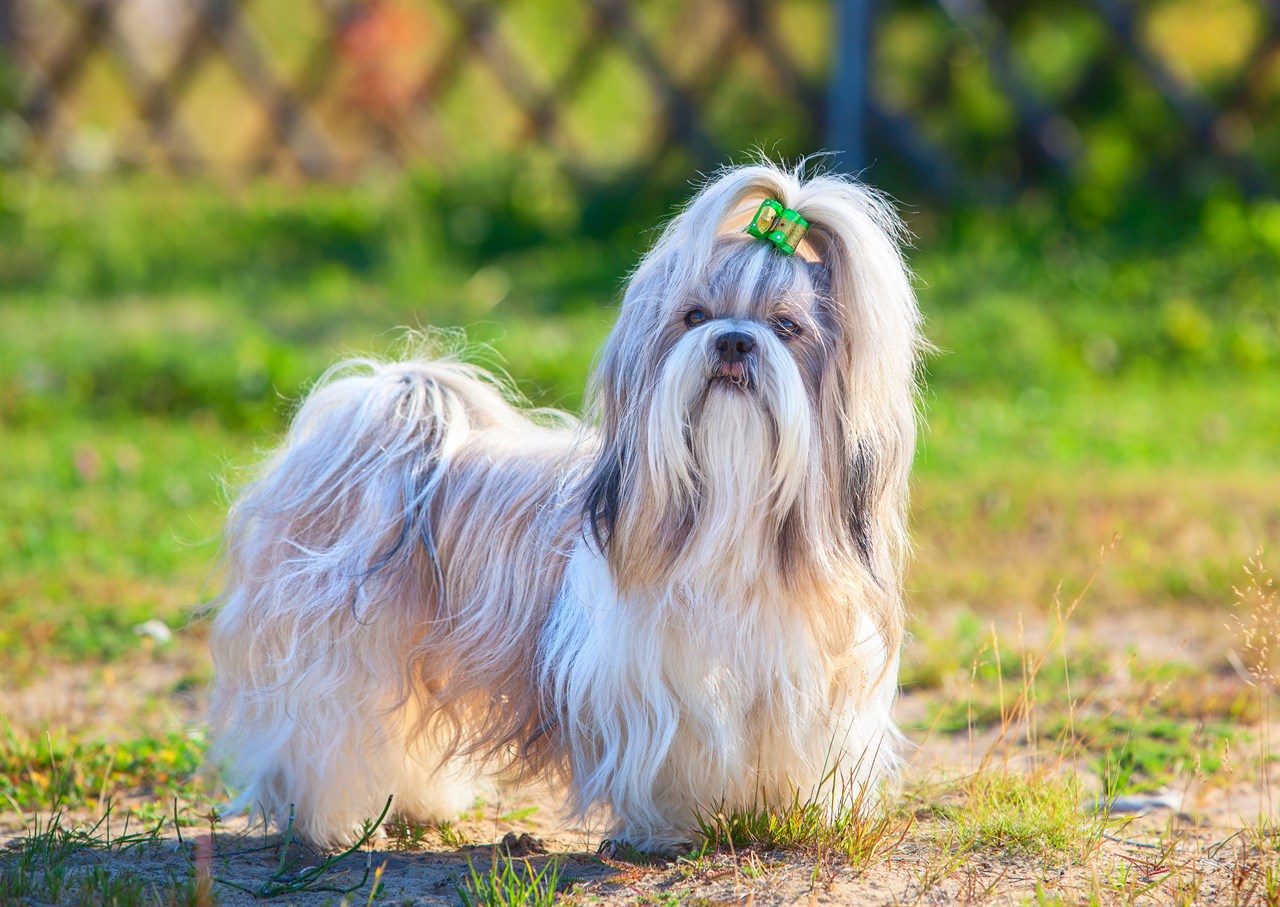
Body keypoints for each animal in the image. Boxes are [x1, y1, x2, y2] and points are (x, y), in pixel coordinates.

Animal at [212, 161, 931, 849]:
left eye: (787, 326)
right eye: (695, 316)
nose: (733, 340)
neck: (731, 513)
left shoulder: (800, 671)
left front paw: (789, 815)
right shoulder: (654, 685)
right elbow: (674, 757)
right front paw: (676, 826)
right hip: (339, 652)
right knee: (324, 732)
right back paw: (326, 819)